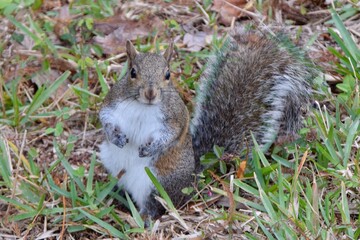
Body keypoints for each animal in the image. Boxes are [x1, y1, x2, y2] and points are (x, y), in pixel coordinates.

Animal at [97, 29, 316, 219]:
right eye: (132, 72)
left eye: (167, 75)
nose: (150, 93)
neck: (142, 105)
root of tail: (193, 176)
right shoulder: (113, 103)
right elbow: (105, 117)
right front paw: (115, 136)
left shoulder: (175, 117)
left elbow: (171, 135)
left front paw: (151, 148)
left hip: (157, 182)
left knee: (155, 205)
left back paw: (142, 218)